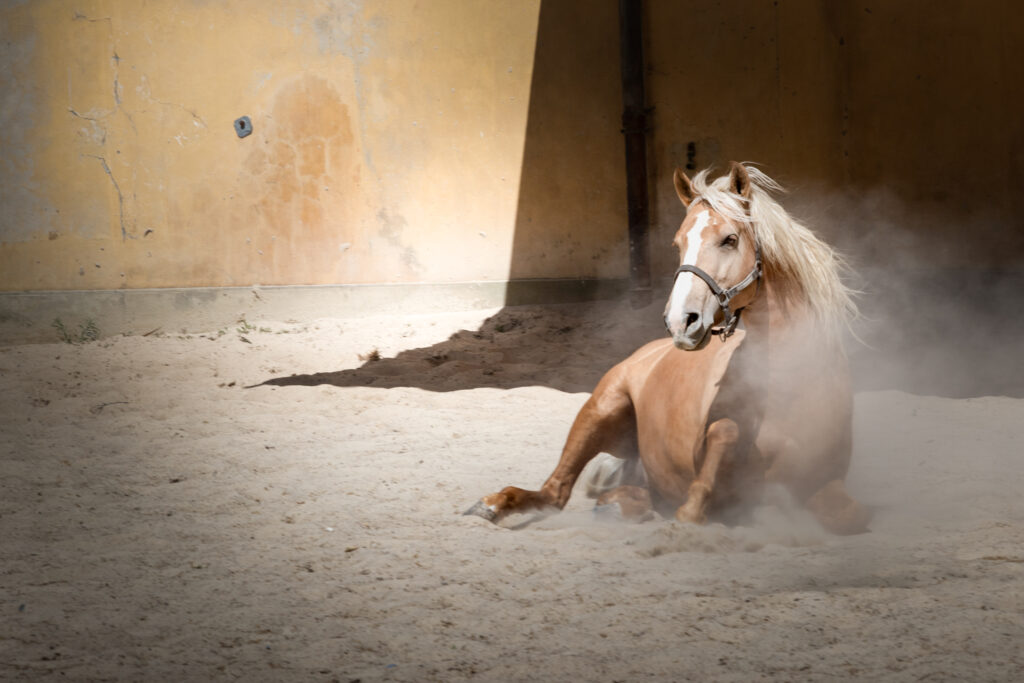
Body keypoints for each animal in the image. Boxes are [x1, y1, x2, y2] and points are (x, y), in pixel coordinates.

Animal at [466, 162, 869, 534]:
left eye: (730, 239)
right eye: (678, 244)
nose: (680, 322)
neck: (788, 389)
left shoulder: (826, 484)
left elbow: (850, 516)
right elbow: (714, 462)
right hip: (600, 408)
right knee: (555, 492)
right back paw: (495, 504)